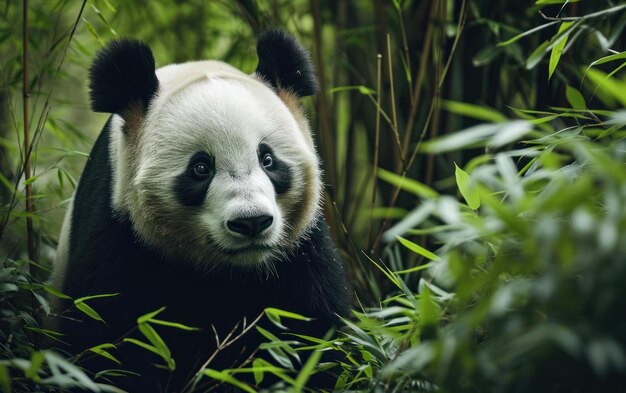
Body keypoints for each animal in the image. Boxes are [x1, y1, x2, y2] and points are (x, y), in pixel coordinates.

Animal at [48, 29, 348, 388]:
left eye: (268, 159)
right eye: (201, 168)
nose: (251, 222)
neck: (229, 271)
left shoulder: (300, 251)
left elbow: (313, 334)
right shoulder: (117, 231)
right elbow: (103, 339)